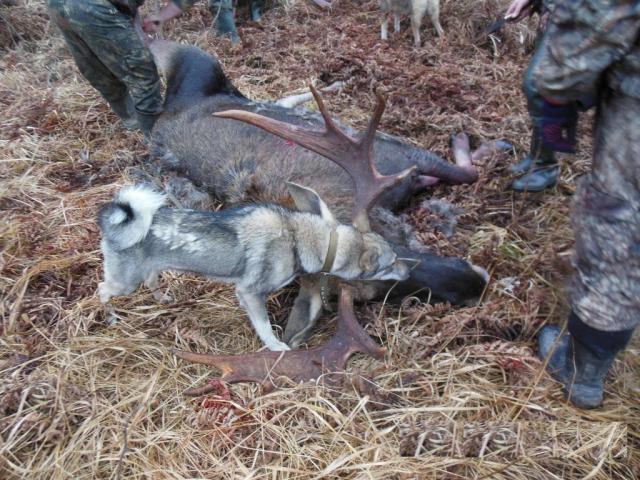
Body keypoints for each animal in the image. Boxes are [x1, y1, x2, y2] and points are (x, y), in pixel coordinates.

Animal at [97, 184, 410, 351]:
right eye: (390, 262)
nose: (409, 272)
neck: (298, 237)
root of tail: (114, 223)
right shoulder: (249, 292)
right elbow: (265, 326)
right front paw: (276, 347)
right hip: (124, 282)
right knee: (102, 290)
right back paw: (110, 317)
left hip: (147, 270)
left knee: (152, 280)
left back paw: (162, 298)